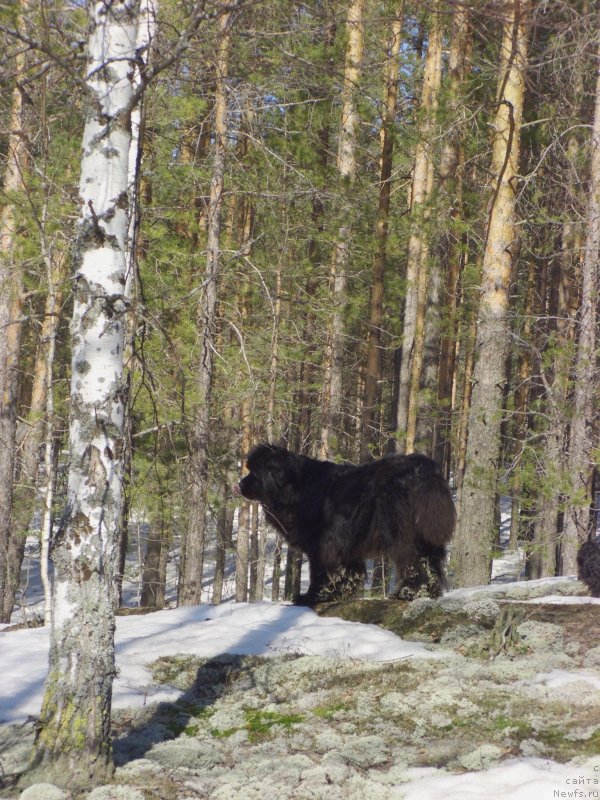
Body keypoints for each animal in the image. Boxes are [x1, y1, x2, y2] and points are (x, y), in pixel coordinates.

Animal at [237, 444, 458, 608]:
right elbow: (348, 571)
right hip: (426, 534)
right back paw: (428, 592)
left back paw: (407, 592)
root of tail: (426, 469)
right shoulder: (346, 544)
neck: (295, 489)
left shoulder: (322, 543)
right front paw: (340, 592)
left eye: (254, 473)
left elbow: (320, 571)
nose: (239, 484)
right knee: (431, 563)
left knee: (412, 561)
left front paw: (311, 597)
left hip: (400, 532)